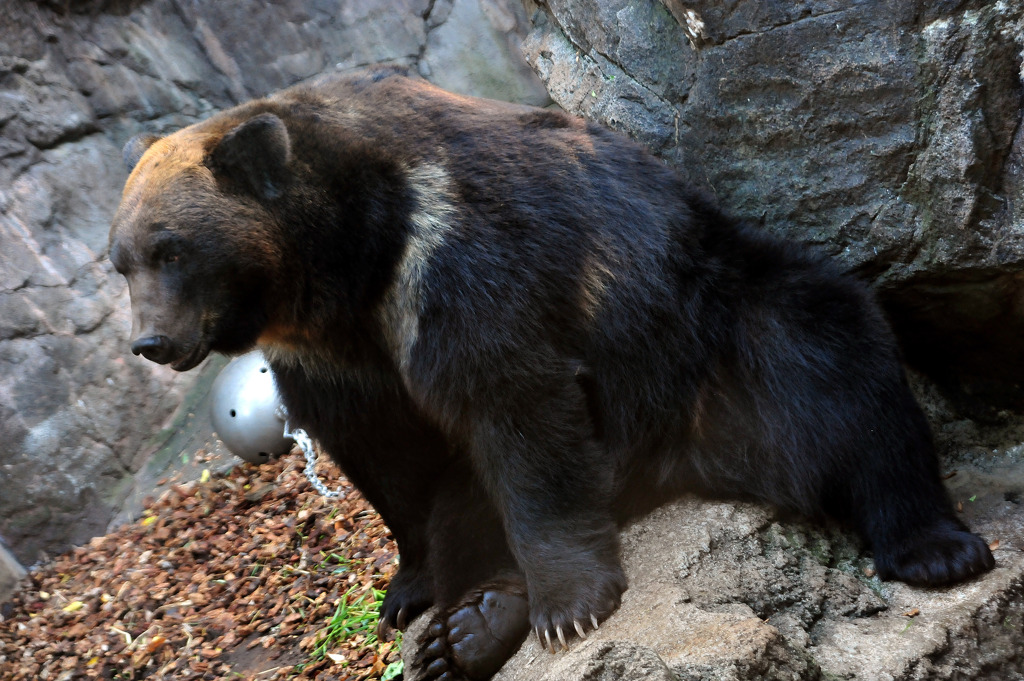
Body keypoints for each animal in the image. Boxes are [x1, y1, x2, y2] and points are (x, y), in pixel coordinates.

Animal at [110, 65, 991, 679]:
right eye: (121, 262)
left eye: (172, 249)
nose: (150, 341)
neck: (350, 261)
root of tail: (673, 461)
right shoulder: (335, 355)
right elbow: (387, 462)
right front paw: (410, 590)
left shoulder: (460, 254)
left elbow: (512, 401)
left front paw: (568, 604)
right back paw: (467, 628)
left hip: (703, 329)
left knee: (834, 364)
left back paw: (936, 546)